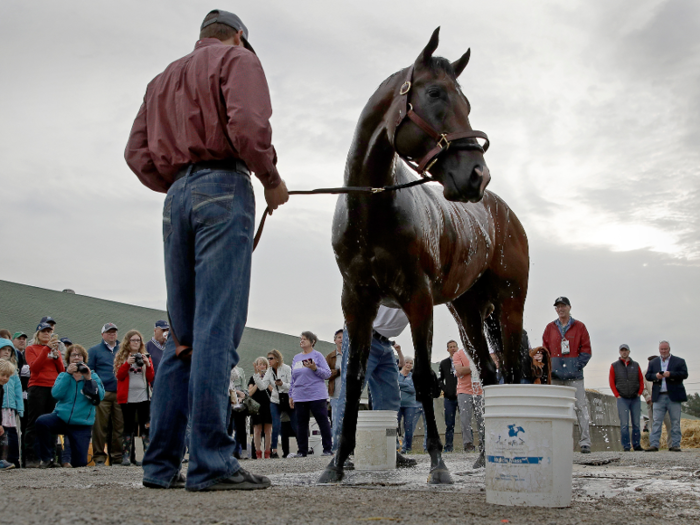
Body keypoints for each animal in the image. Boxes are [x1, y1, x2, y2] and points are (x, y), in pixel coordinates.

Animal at [320, 26, 528, 482]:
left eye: (466, 103)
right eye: (435, 94)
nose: (477, 175)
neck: (373, 210)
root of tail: (502, 211)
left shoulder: (417, 298)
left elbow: (420, 378)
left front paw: (437, 463)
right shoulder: (357, 301)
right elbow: (354, 380)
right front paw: (337, 463)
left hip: (509, 303)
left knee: (511, 370)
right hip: (467, 313)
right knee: (490, 374)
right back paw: (483, 458)